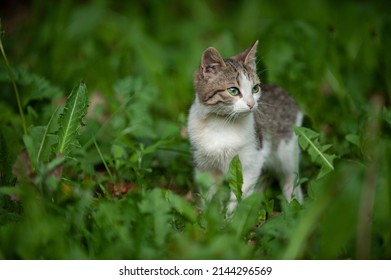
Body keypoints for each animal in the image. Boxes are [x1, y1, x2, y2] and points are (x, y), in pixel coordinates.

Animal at [188, 40, 304, 213]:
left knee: (290, 177)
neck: (221, 125)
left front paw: (231, 217)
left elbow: (239, 195)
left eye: (255, 88)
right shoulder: (204, 165)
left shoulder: (253, 159)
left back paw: (294, 205)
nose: (251, 103)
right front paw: (206, 214)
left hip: (287, 149)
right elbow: (207, 193)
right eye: (233, 90)